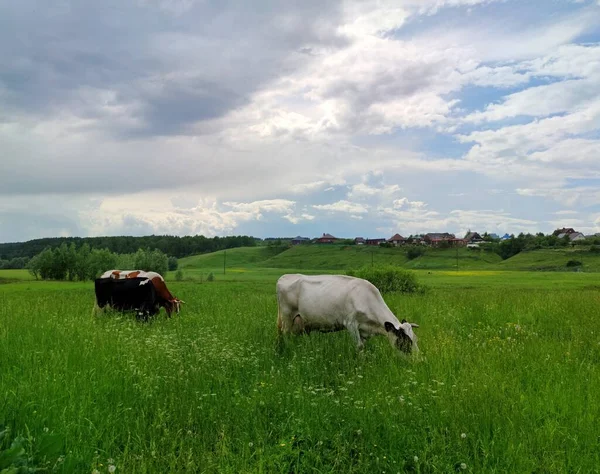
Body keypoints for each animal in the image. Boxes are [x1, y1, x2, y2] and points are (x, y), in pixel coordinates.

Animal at [276, 274, 420, 352]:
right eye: (405, 341)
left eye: (415, 339)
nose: (418, 361)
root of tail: (285, 276)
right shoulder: (351, 323)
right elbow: (359, 346)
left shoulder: (364, 329)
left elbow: (363, 346)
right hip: (287, 317)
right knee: (285, 335)